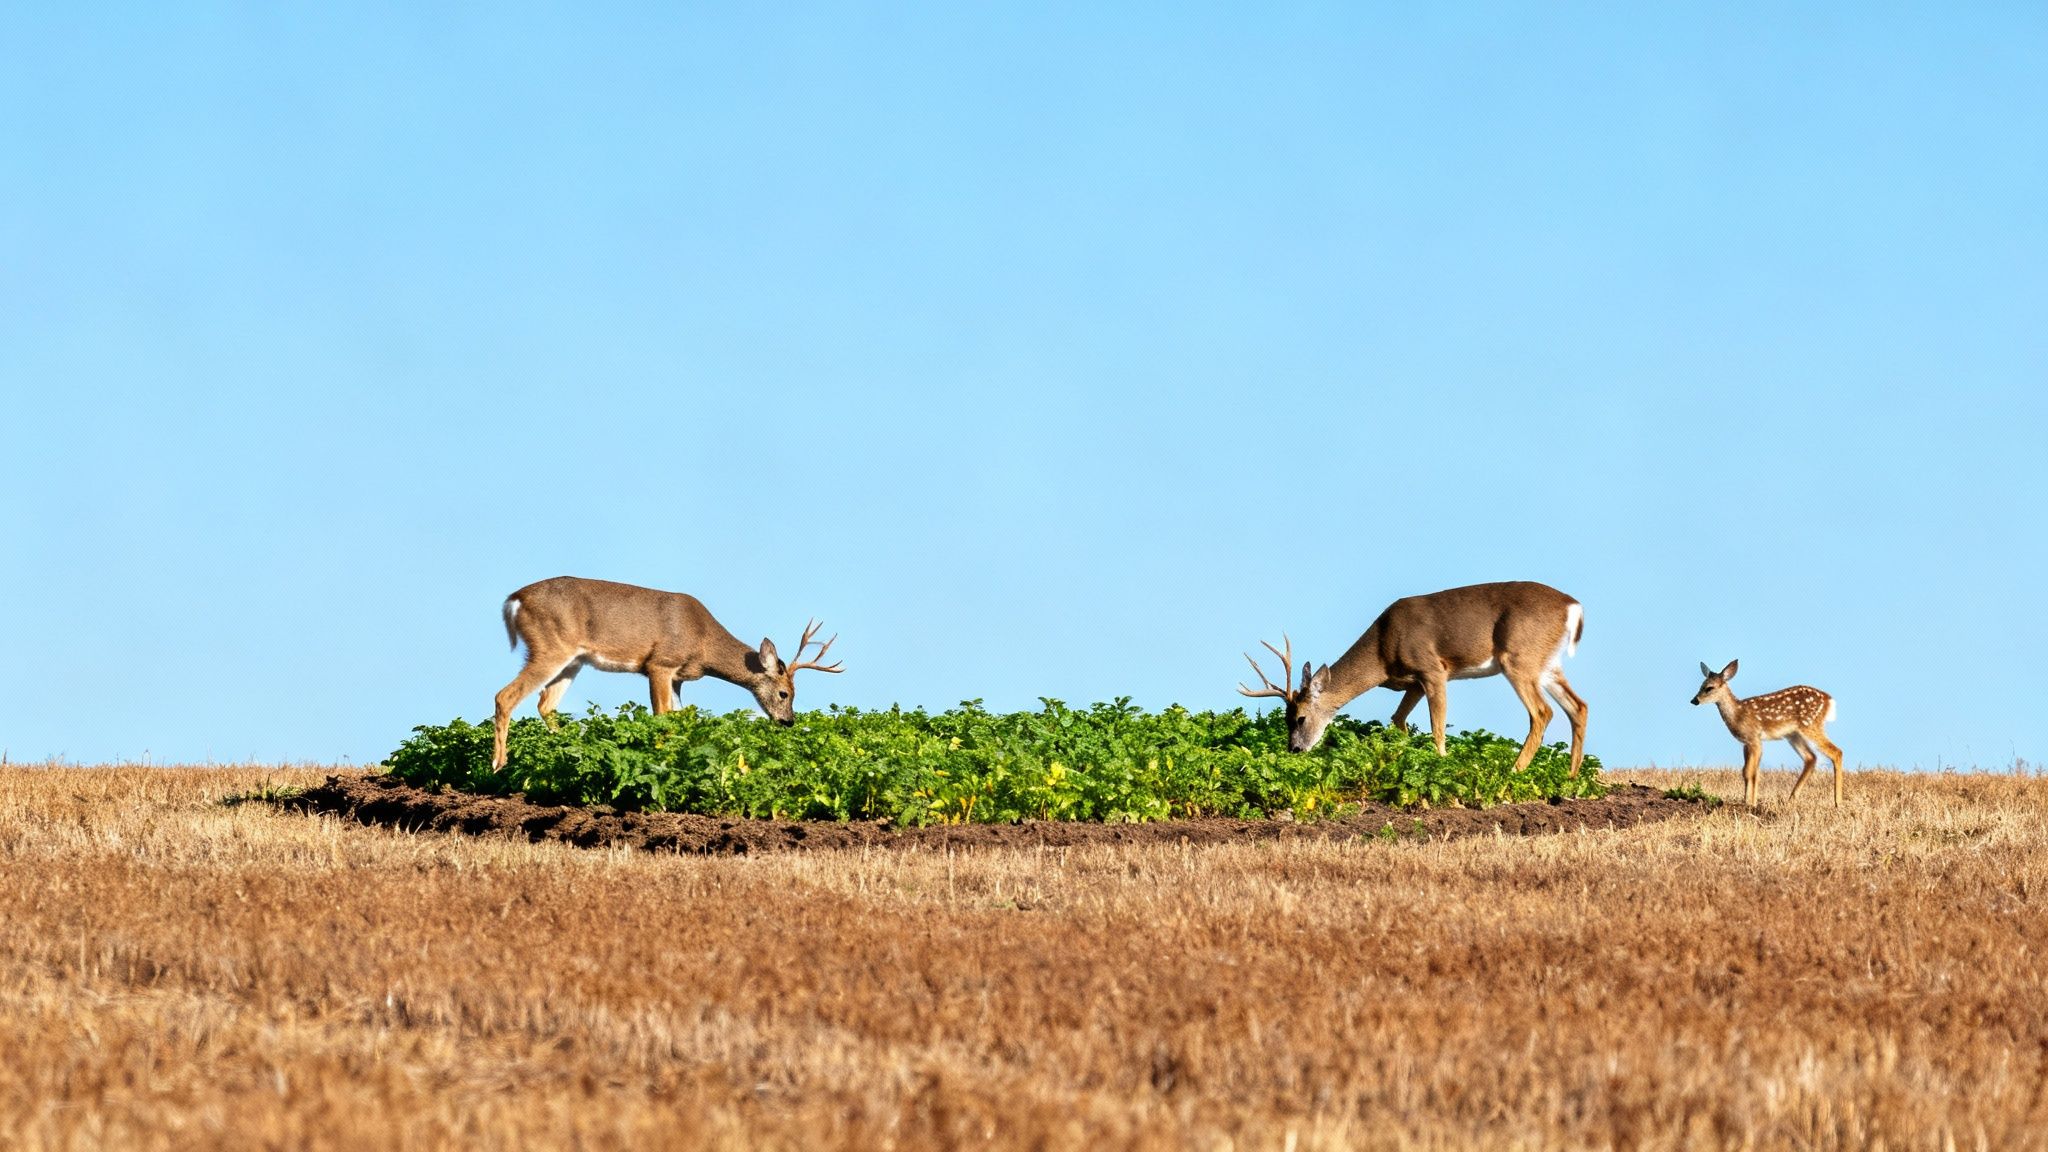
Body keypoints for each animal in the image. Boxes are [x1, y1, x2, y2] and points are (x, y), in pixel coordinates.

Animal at [491, 576, 844, 770]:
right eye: (785, 693)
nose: (788, 721)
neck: (703, 643)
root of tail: (514, 599)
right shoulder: (660, 664)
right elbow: (661, 718)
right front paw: (661, 760)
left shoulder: (677, 678)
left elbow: (680, 719)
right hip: (550, 647)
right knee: (505, 696)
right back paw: (499, 764)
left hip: (573, 660)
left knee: (545, 705)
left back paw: (571, 752)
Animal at [1238, 581, 1588, 776]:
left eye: (1299, 718)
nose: (1294, 750)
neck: (1382, 651)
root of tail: (1573, 606)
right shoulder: (1414, 683)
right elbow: (1398, 720)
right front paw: (1403, 759)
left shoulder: (1432, 669)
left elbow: (1437, 726)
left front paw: (1442, 764)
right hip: (1547, 665)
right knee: (1579, 706)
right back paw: (1571, 778)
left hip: (1518, 659)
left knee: (1542, 712)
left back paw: (1513, 771)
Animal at [1690, 660, 1843, 808]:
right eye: (1701, 685)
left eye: (1709, 687)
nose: (1694, 700)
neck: (1738, 714)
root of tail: (1829, 700)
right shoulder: (1747, 743)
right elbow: (1749, 773)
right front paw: (1749, 803)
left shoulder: (1754, 738)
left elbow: (1750, 772)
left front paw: (1749, 805)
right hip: (1794, 734)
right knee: (1811, 758)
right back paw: (1791, 800)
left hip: (1810, 724)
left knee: (1836, 752)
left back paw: (1838, 802)